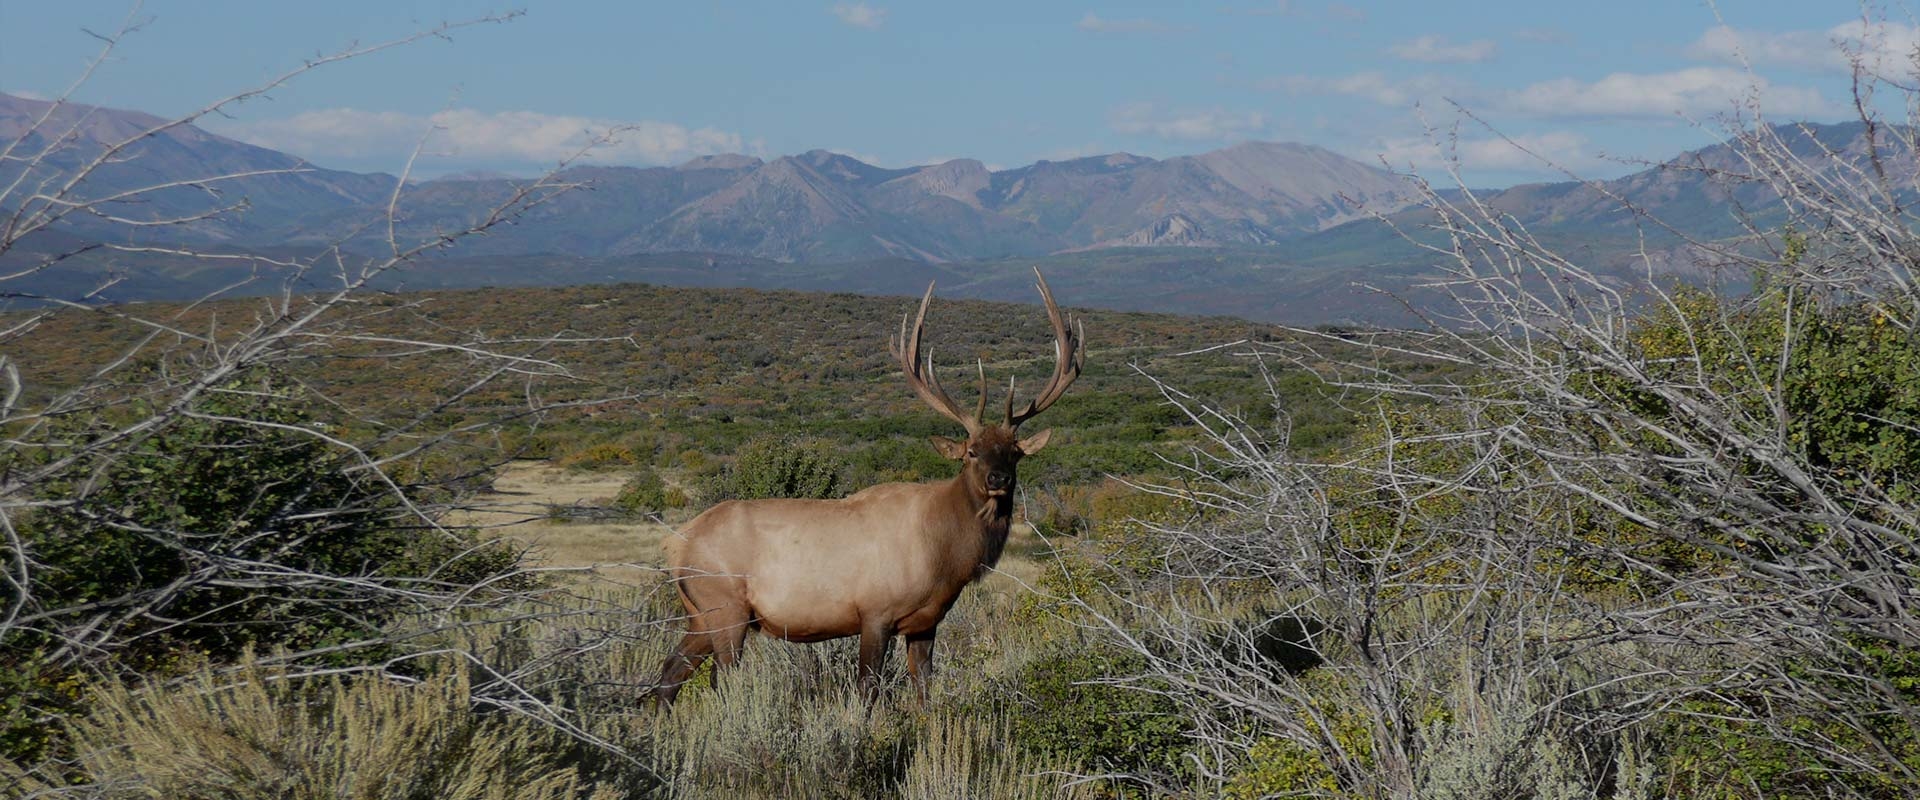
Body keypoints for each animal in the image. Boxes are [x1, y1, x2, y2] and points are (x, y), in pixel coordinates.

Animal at [656, 270, 1082, 705]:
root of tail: (675, 545)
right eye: (971, 452)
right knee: (720, 682)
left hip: (700, 615)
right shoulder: (875, 612)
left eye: (1014, 452)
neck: (943, 555)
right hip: (724, 607)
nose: (1000, 480)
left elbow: (924, 690)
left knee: (667, 676)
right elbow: (867, 690)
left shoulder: (926, 621)